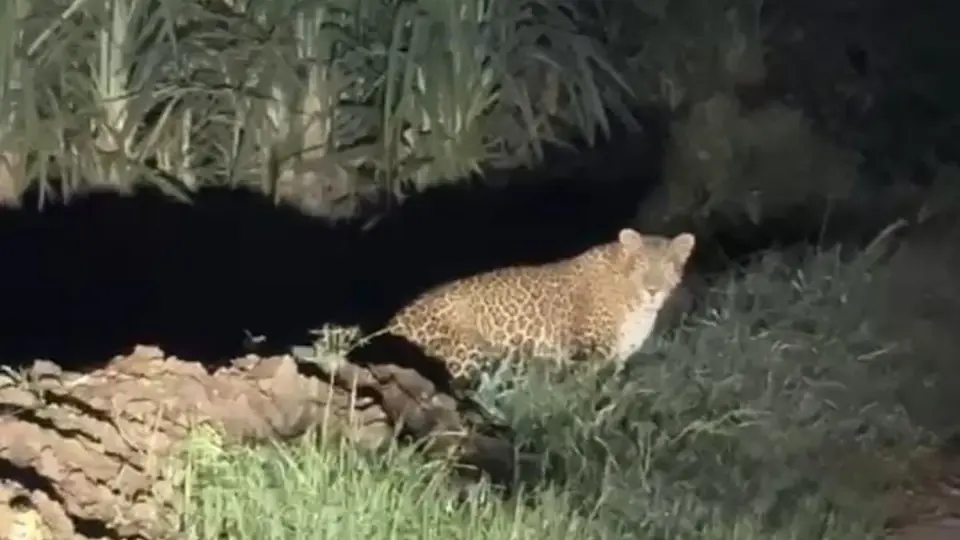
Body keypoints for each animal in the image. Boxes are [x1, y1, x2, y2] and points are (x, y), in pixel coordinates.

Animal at [381, 228, 696, 381]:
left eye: (667, 267)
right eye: (641, 265)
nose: (653, 289)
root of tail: (392, 323)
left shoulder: (615, 359)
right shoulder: (585, 352)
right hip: (470, 350)